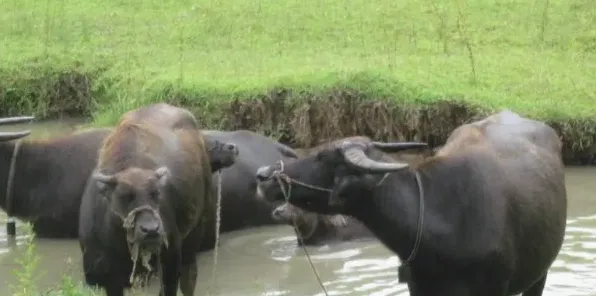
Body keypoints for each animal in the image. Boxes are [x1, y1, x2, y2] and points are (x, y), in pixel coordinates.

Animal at [78, 104, 219, 296]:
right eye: (124, 196)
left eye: (155, 193)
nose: (151, 230)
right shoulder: (107, 274)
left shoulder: (171, 256)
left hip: (196, 229)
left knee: (189, 275)